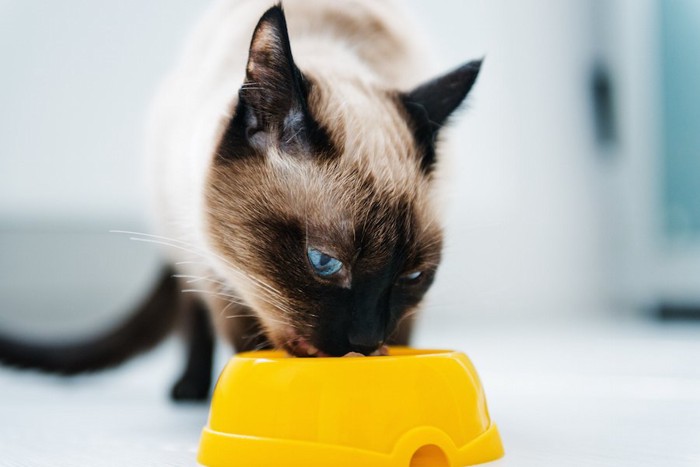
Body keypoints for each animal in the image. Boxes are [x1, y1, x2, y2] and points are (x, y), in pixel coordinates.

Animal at [0, 0, 482, 402]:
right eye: (324, 262)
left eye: (412, 276)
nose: (364, 342)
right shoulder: (220, 276)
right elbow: (243, 343)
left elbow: (404, 339)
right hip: (184, 239)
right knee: (193, 317)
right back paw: (190, 390)